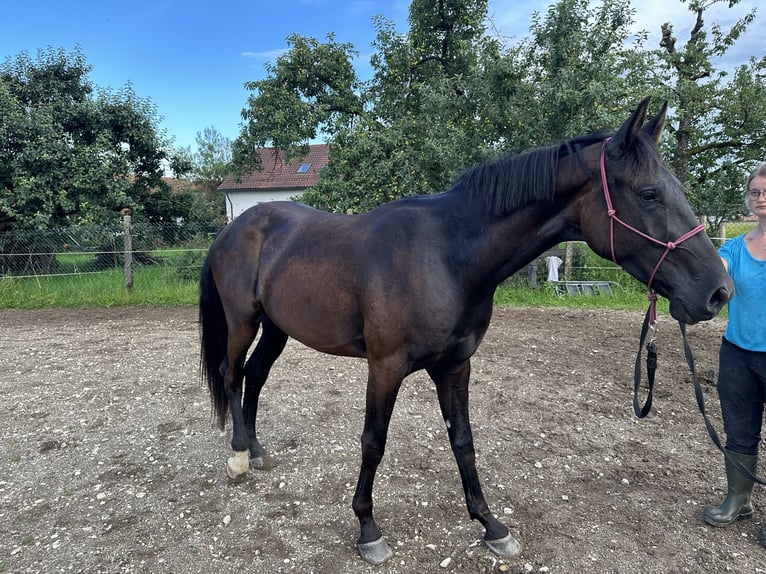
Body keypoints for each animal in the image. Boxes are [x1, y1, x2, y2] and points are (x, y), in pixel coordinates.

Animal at [201, 97, 736, 564]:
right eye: (648, 194)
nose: (719, 292)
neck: (447, 254)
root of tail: (237, 226)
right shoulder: (385, 367)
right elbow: (373, 441)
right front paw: (368, 530)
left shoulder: (455, 365)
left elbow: (463, 440)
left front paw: (491, 525)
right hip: (243, 321)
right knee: (231, 373)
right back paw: (238, 459)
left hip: (277, 328)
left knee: (254, 376)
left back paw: (255, 449)